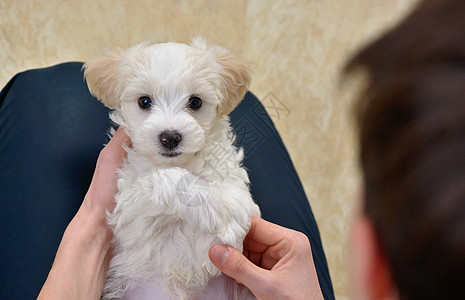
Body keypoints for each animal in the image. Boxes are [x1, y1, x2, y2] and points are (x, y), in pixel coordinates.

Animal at [81, 38, 260, 300]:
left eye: (195, 102)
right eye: (144, 101)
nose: (170, 137)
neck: (180, 162)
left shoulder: (235, 185)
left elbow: (236, 205)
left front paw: (224, 225)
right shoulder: (126, 203)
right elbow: (164, 177)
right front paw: (210, 209)